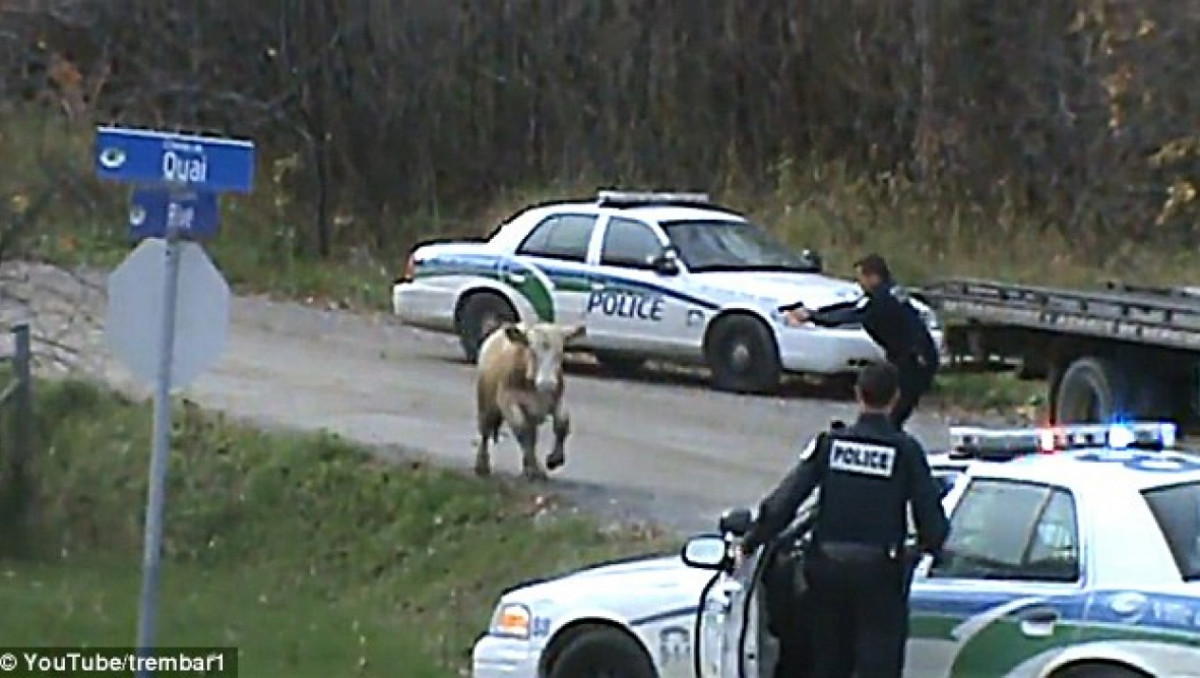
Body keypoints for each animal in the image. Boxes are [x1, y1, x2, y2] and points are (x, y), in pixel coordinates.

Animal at [477, 321, 590, 475]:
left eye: (560, 353)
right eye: (532, 351)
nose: (547, 383)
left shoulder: (556, 399)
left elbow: (562, 423)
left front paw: (554, 459)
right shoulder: (507, 401)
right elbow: (522, 430)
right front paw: (533, 468)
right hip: (485, 404)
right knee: (485, 431)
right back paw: (482, 464)